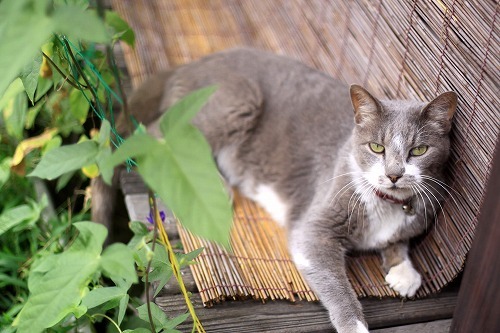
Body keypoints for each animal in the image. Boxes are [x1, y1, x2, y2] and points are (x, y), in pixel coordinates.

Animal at [94, 48, 458, 330]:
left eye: (419, 151)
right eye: (377, 147)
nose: (395, 174)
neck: (387, 204)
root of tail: (189, 65)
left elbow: (400, 239)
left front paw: (404, 271)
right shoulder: (315, 226)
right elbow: (336, 285)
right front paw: (355, 325)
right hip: (238, 97)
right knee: (158, 136)